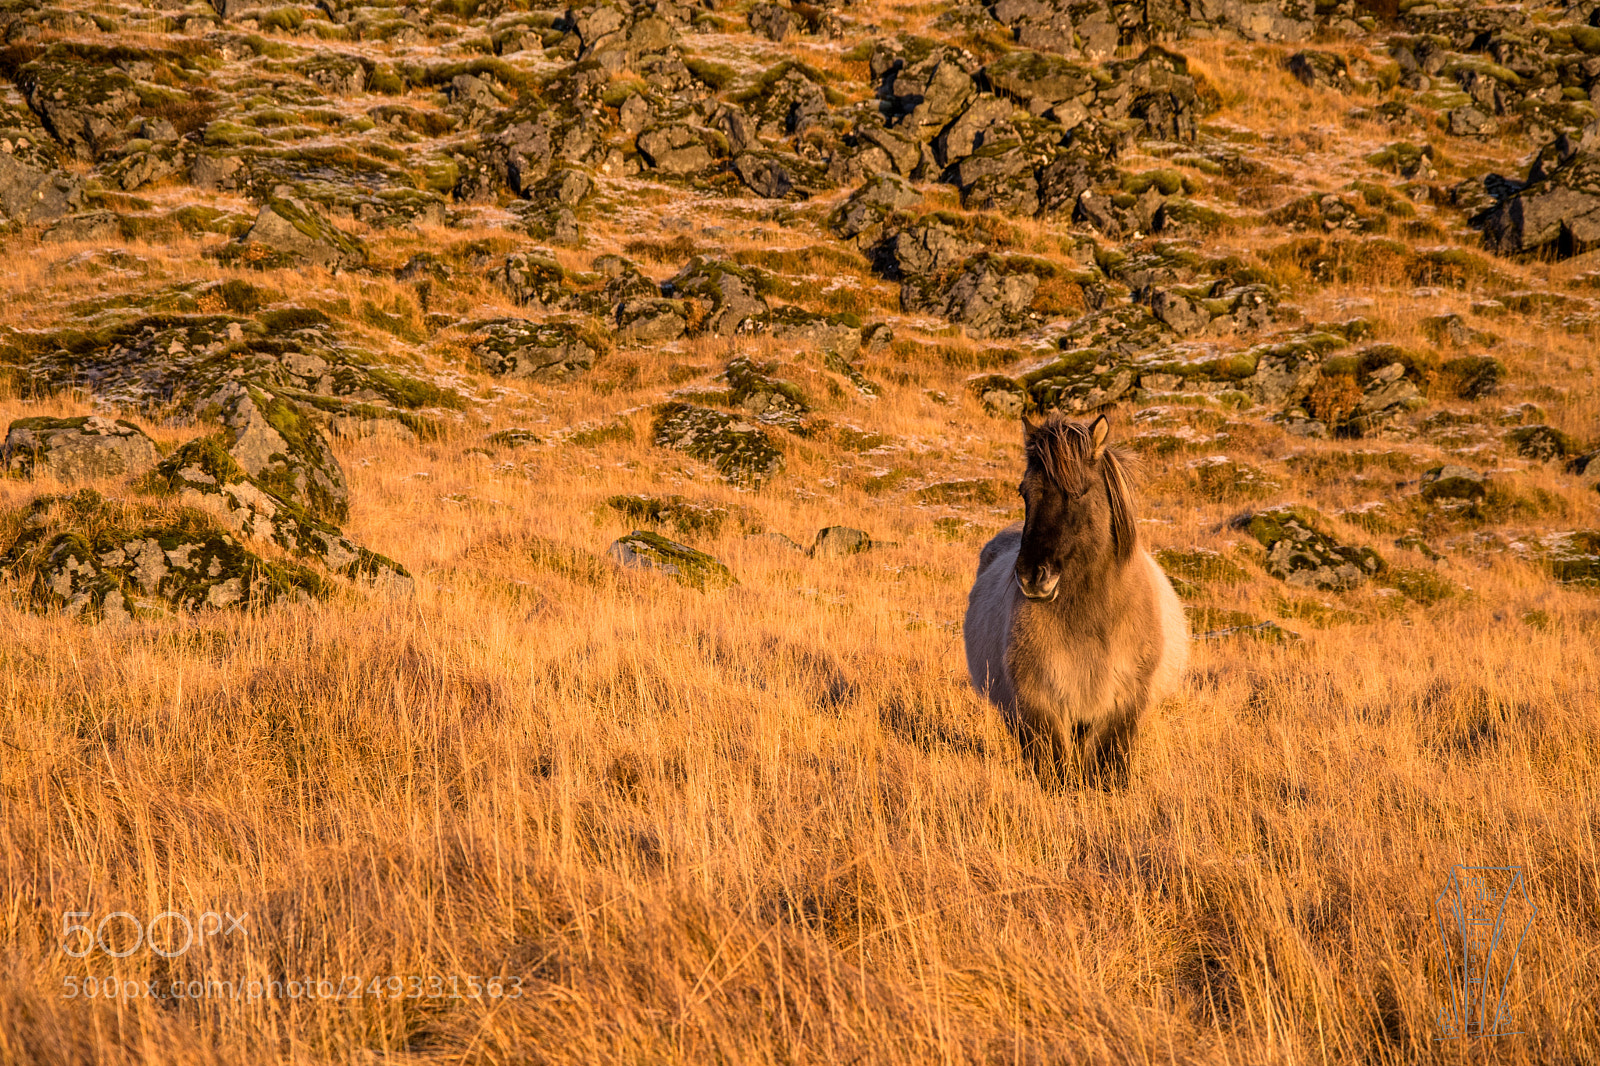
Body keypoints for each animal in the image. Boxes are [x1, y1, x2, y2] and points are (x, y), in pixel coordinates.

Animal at [964, 412, 1188, 788]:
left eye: (1079, 492)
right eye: (1024, 492)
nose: (1031, 576)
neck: (1092, 622)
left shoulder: (1121, 707)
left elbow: (1107, 770)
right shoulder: (1038, 706)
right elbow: (1054, 772)